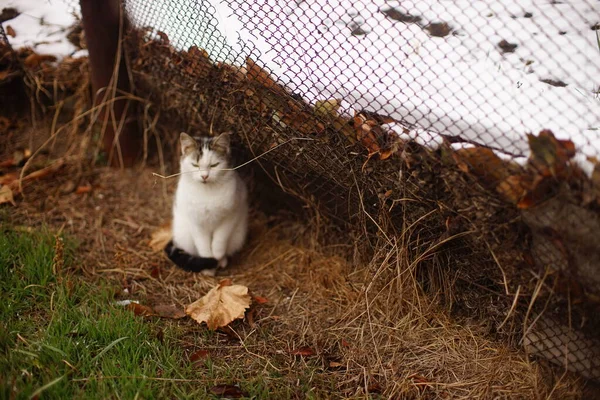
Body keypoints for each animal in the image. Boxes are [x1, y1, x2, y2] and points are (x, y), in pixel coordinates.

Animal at [164, 131, 248, 276]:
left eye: (214, 165)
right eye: (195, 165)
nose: (204, 176)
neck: (207, 192)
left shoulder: (230, 216)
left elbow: (220, 239)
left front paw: (217, 256)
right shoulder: (196, 222)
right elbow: (203, 245)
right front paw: (209, 265)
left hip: (238, 235)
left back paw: (222, 261)